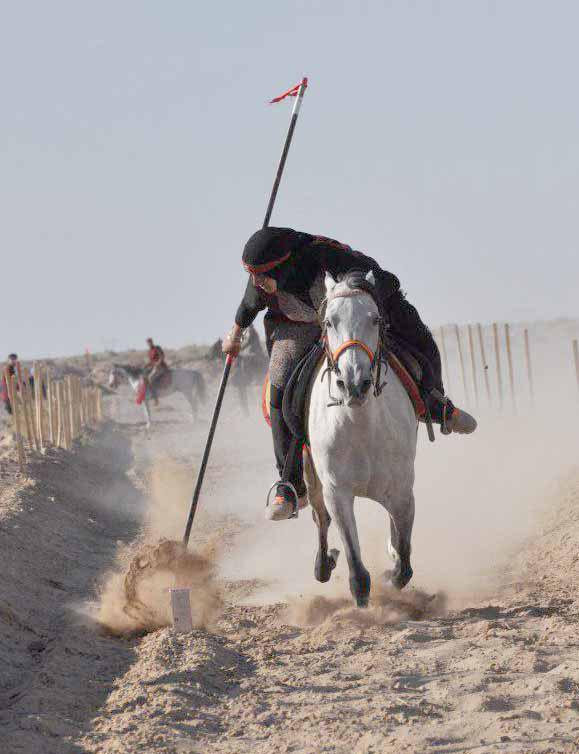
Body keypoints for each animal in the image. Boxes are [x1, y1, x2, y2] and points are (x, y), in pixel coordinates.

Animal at [308, 270, 416, 604]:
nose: (354, 383)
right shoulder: (337, 493)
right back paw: (324, 562)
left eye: (375, 319)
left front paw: (392, 574)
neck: (360, 426)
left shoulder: (402, 491)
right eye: (329, 322)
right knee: (320, 520)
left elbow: (404, 561)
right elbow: (357, 570)